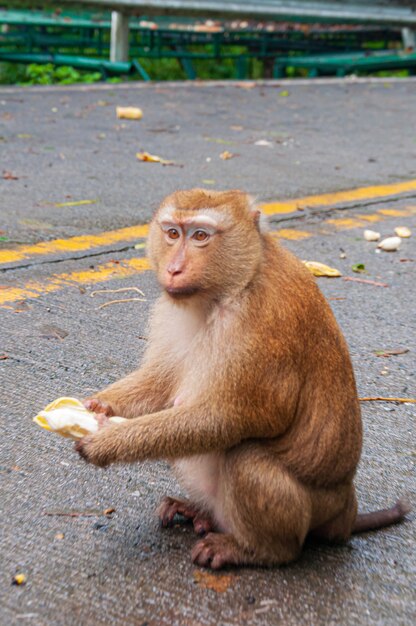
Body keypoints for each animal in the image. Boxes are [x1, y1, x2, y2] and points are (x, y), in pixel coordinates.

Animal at [75, 188, 410, 568]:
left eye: (200, 236)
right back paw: (200, 512)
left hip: (310, 512)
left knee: (247, 457)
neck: (233, 286)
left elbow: (233, 417)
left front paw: (106, 442)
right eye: (173, 233)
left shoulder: (263, 326)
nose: (174, 268)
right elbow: (162, 382)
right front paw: (98, 406)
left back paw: (258, 550)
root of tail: (346, 511)